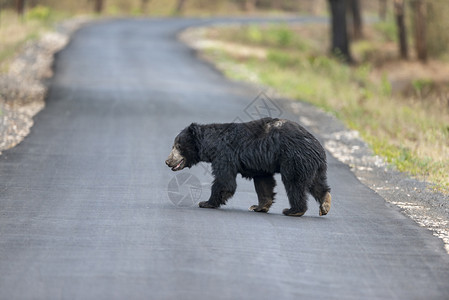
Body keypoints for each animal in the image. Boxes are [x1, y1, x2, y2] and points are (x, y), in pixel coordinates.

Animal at [164, 116, 328, 217]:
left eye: (177, 146)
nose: (167, 161)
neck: (211, 145)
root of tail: (316, 145)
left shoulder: (224, 155)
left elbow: (225, 181)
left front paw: (206, 202)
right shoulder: (260, 164)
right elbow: (264, 182)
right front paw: (258, 206)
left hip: (293, 158)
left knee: (294, 183)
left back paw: (293, 210)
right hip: (314, 165)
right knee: (317, 184)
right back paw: (325, 203)